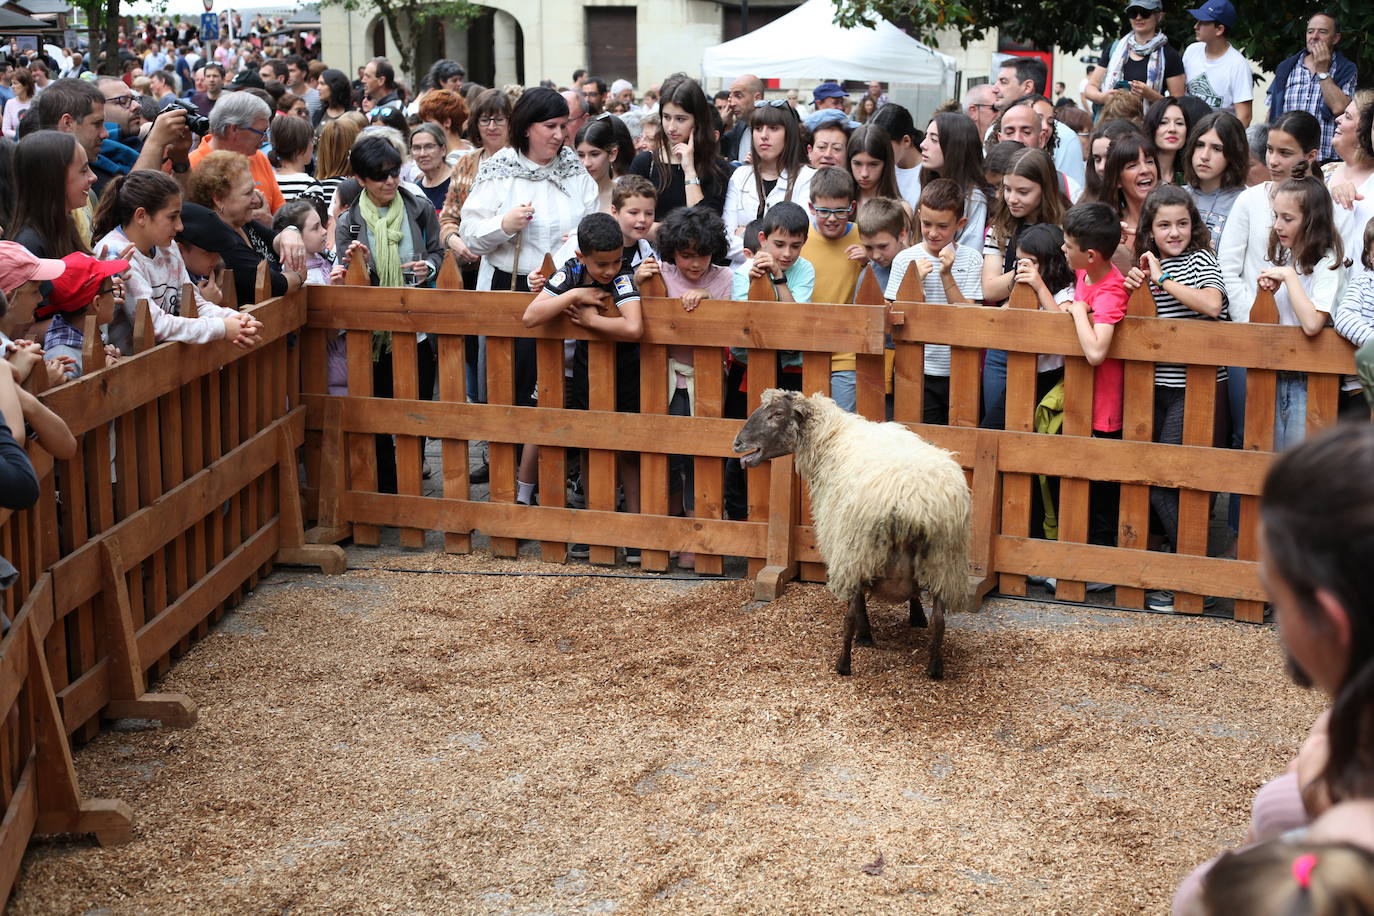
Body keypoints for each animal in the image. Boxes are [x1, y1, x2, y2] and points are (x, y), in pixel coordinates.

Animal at [730, 390, 978, 678]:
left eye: (777, 414)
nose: (737, 443)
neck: (832, 436)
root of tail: (914, 504)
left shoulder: (846, 549)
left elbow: (857, 606)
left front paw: (865, 636)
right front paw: (917, 617)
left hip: (858, 553)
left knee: (849, 615)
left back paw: (844, 663)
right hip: (943, 561)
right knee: (940, 620)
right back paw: (935, 668)